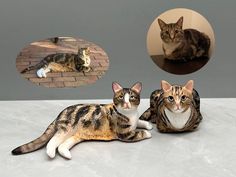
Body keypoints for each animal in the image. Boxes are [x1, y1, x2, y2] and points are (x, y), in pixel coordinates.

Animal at [12, 81, 153, 159]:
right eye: (121, 97)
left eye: (132, 97)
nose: (127, 104)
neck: (131, 114)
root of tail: (59, 115)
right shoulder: (125, 134)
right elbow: (139, 133)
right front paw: (148, 133)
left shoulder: (135, 120)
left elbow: (140, 121)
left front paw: (148, 125)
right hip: (66, 129)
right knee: (53, 141)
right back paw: (51, 153)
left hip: (77, 136)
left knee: (62, 146)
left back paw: (67, 155)